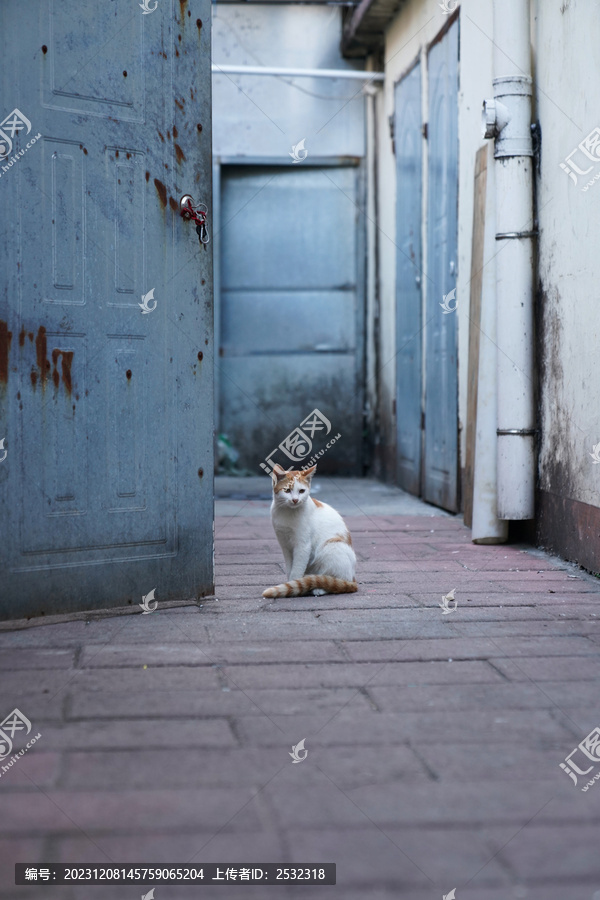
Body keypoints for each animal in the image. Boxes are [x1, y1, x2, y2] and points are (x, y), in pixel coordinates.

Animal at [262, 464, 356, 596]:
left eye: (301, 491)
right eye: (287, 490)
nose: (295, 500)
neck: (287, 512)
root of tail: (353, 578)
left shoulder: (303, 546)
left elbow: (296, 570)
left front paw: (291, 586)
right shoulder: (285, 545)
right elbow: (290, 567)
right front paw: (289, 583)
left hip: (330, 548)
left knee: (336, 581)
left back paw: (320, 588)